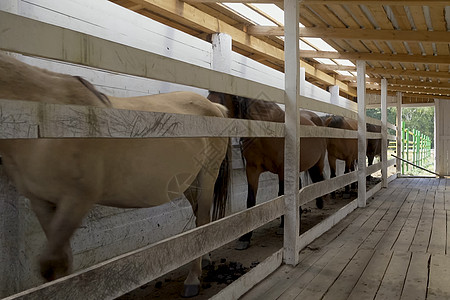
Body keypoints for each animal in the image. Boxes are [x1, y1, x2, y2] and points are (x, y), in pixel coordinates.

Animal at [0, 52, 230, 298]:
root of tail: (214, 107)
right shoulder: (41, 202)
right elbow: (59, 262)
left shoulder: (77, 199)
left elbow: (54, 264)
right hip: (189, 182)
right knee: (199, 217)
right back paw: (205, 257)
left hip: (207, 175)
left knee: (203, 219)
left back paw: (193, 278)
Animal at [207, 92, 326, 251]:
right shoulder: (252, 170)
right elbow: (250, 200)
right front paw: (245, 237)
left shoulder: (282, 170)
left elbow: (282, 194)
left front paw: (283, 225)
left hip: (318, 163)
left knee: (319, 180)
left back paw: (319, 203)